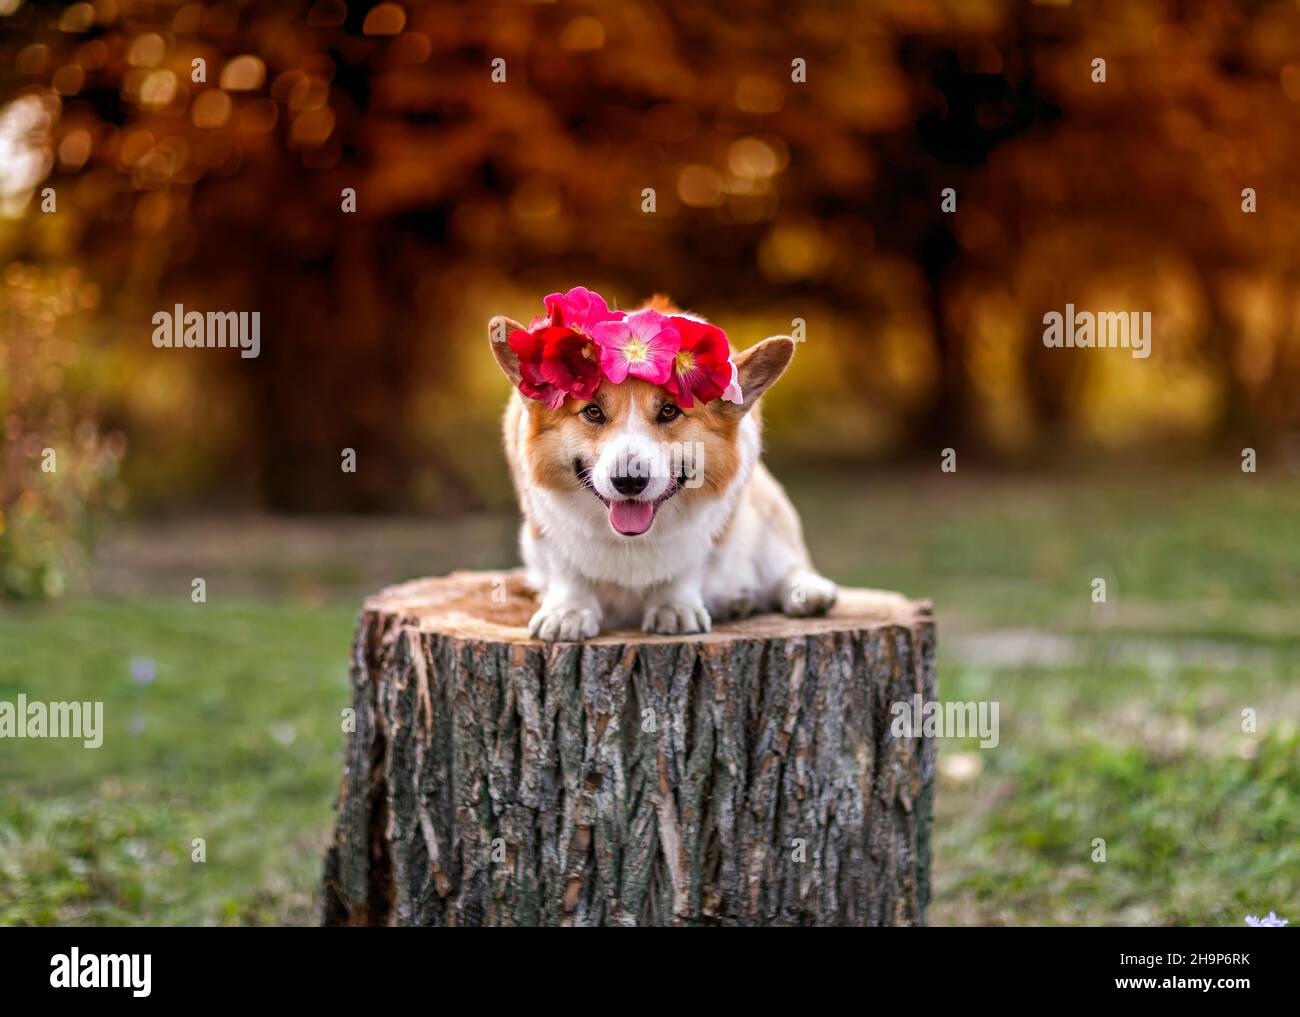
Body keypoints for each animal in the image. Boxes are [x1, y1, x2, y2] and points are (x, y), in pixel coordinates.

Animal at [488, 299, 842, 642]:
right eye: (593, 411)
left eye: (669, 411)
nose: (629, 481)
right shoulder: (544, 522)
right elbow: (567, 567)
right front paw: (567, 611)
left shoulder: (709, 528)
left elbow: (685, 567)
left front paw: (674, 608)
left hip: (769, 512)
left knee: (785, 562)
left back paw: (803, 591)